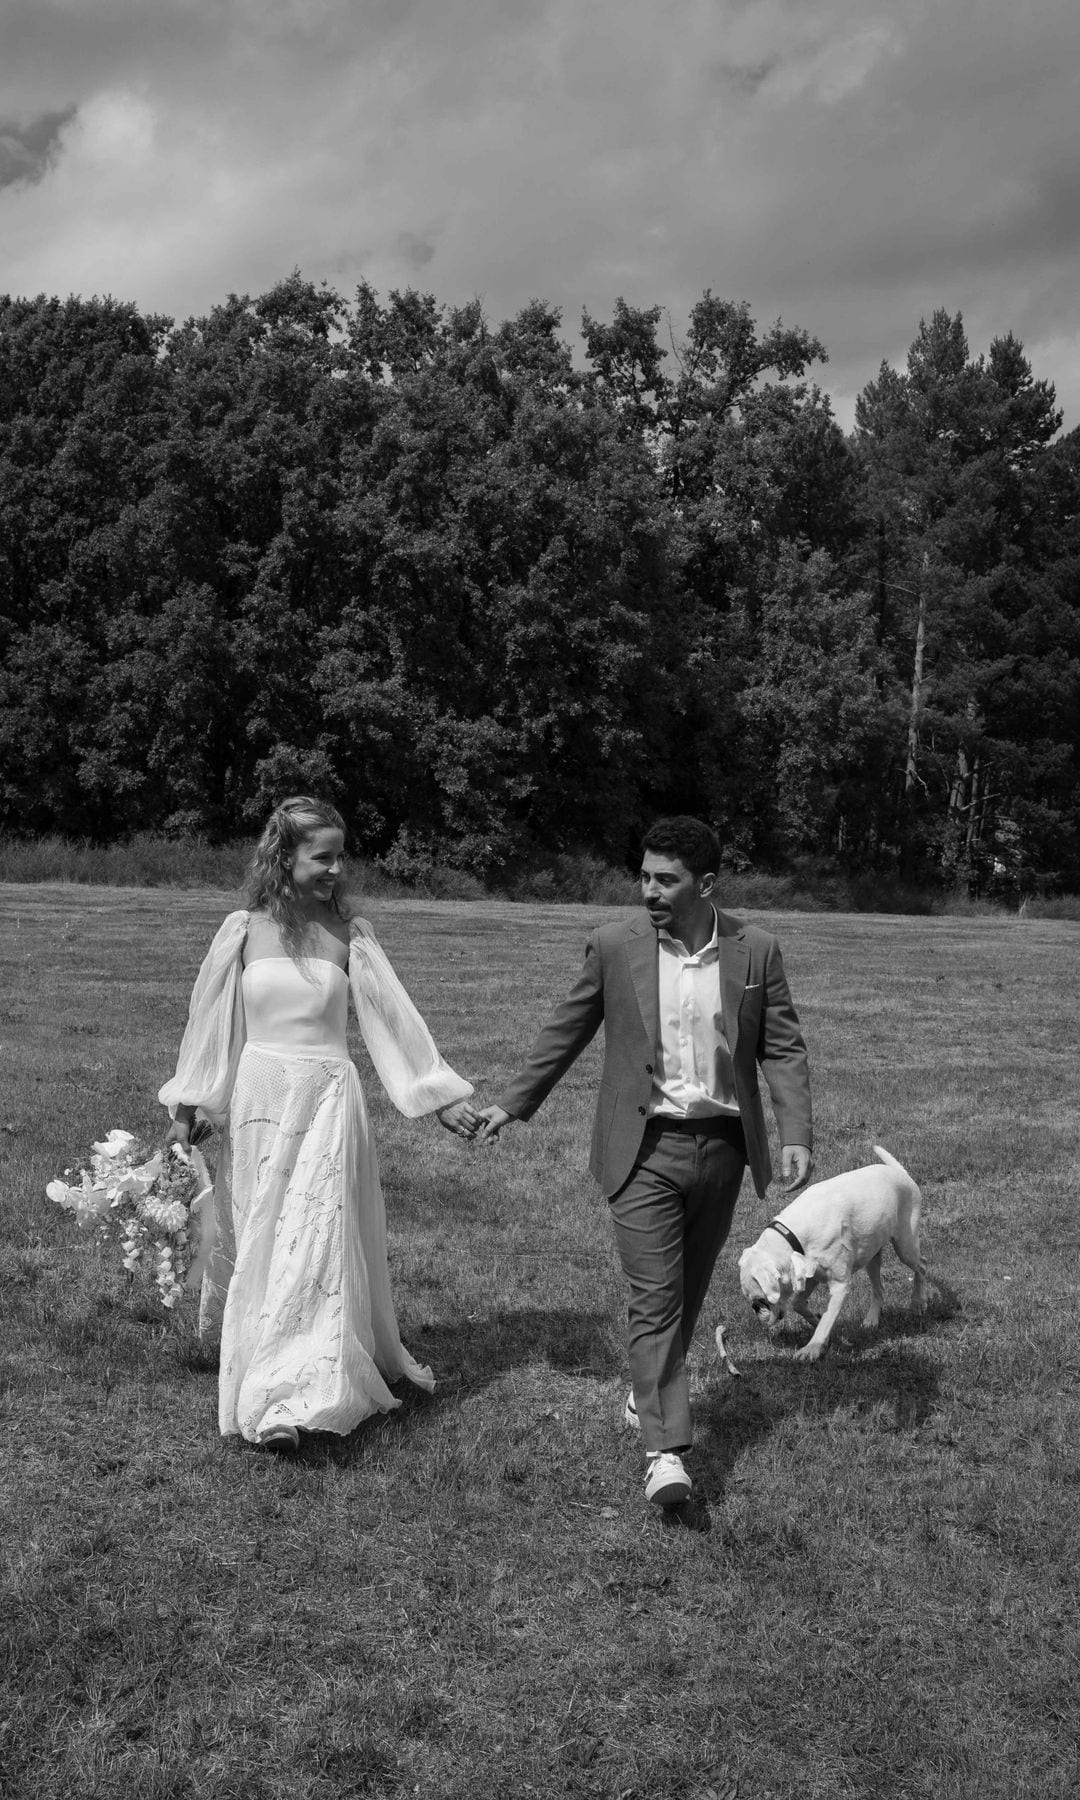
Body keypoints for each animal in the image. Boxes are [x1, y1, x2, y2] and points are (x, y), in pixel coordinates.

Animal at [734, 1144, 928, 1353]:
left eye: (761, 1300)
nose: (755, 1310)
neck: (795, 1235)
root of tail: (900, 1172)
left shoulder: (839, 1285)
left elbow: (827, 1320)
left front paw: (812, 1348)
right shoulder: (810, 1277)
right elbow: (797, 1304)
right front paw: (815, 1321)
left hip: (905, 1247)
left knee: (922, 1266)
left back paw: (918, 1303)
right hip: (872, 1256)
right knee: (879, 1288)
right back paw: (872, 1320)